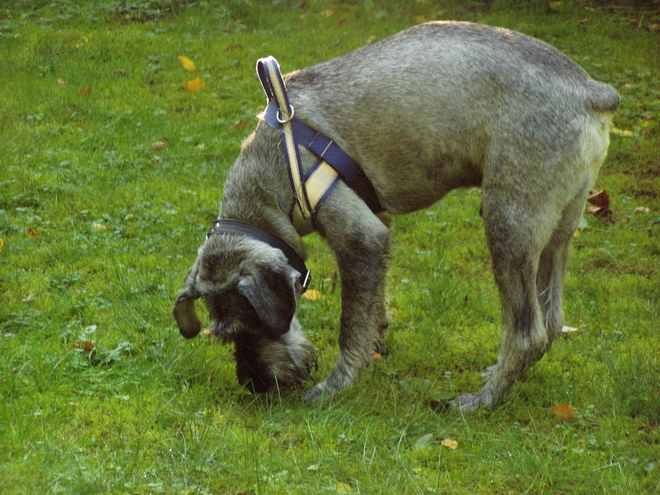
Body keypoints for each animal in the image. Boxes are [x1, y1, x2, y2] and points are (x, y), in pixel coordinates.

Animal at [171, 21, 620, 410]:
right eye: (223, 337)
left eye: (248, 327)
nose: (255, 385)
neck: (271, 173)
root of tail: (588, 90)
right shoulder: (378, 230)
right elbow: (374, 305)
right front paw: (377, 342)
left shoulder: (358, 239)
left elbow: (350, 324)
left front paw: (337, 385)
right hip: (556, 231)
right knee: (552, 320)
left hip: (508, 226)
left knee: (528, 333)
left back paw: (481, 401)